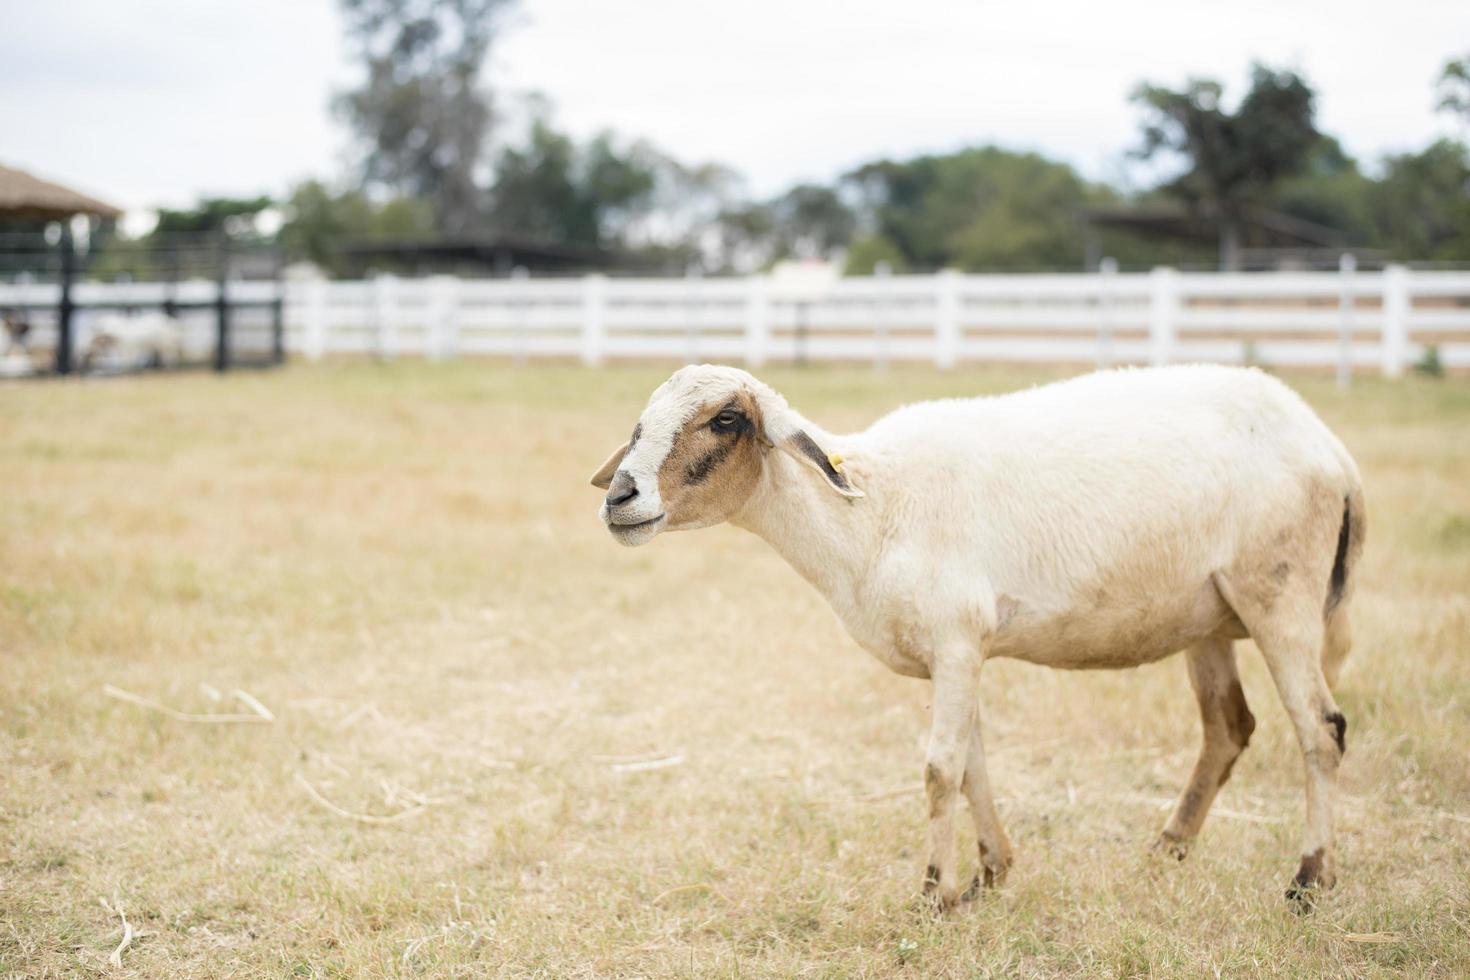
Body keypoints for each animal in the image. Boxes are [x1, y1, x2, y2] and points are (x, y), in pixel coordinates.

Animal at [588, 365, 1364, 910]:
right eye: (640, 423)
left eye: (726, 419)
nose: (620, 498)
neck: (871, 514)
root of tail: (1329, 446)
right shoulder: (952, 655)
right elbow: (971, 768)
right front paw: (989, 876)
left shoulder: (957, 641)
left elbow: (939, 772)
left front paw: (933, 893)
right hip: (1208, 615)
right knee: (1229, 727)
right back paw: (1168, 848)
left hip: (1280, 594)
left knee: (1321, 730)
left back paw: (1308, 882)